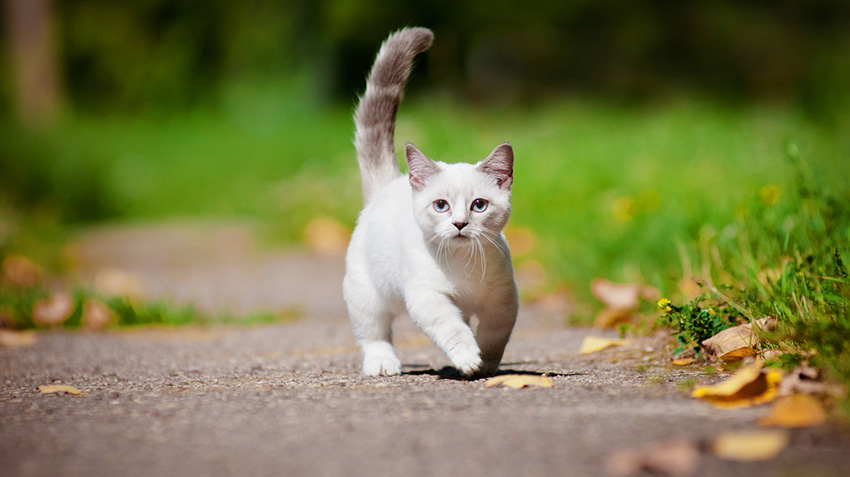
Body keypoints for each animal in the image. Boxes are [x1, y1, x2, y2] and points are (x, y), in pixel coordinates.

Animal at [340, 27, 516, 378]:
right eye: (441, 205)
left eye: (479, 205)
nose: (460, 223)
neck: (463, 269)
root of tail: (389, 183)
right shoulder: (427, 297)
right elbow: (452, 328)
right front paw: (468, 358)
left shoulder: (504, 300)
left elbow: (494, 334)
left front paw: (485, 365)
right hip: (366, 292)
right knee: (374, 332)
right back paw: (382, 363)